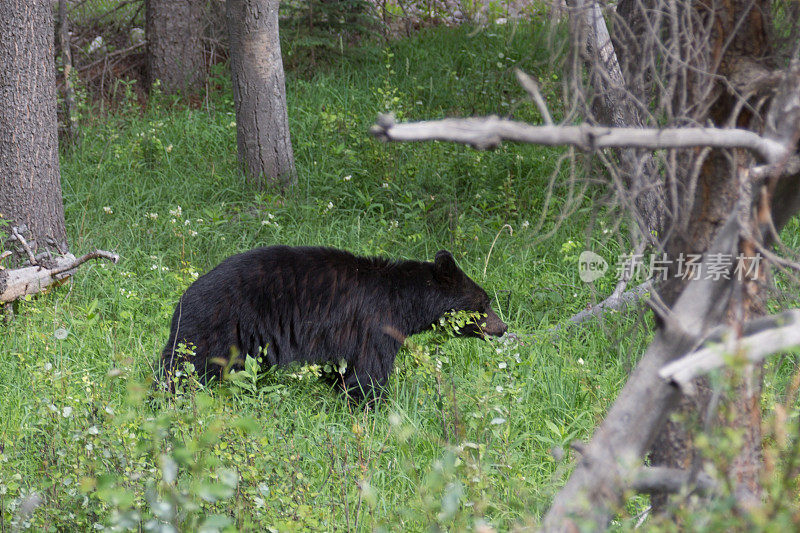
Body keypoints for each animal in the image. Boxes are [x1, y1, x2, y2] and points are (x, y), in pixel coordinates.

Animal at [162, 244, 506, 394]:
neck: (406, 301)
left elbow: (343, 368)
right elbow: (370, 370)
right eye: (485, 303)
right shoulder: (376, 323)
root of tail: (184, 296)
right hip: (219, 326)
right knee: (185, 365)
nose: (503, 327)